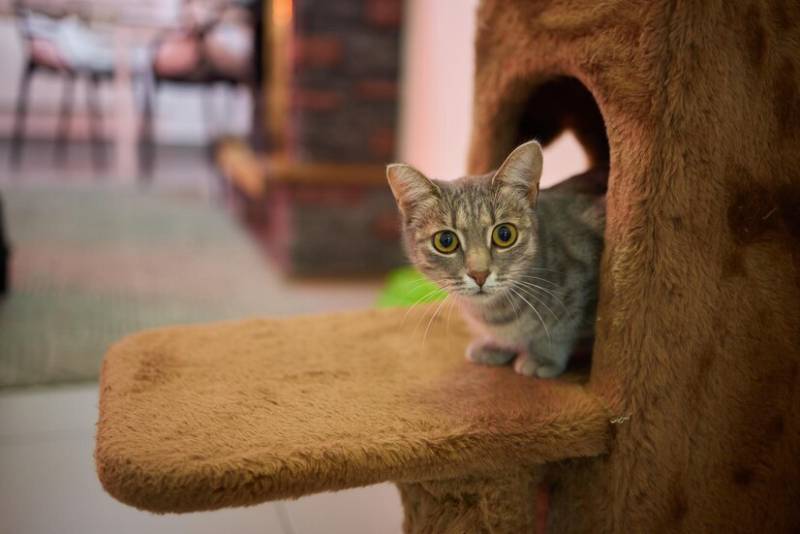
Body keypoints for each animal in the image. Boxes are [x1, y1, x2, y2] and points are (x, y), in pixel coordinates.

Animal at [384, 140, 604, 378]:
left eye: (505, 235)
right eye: (445, 240)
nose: (479, 274)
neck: (495, 314)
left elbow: (560, 331)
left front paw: (543, 357)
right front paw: (496, 345)